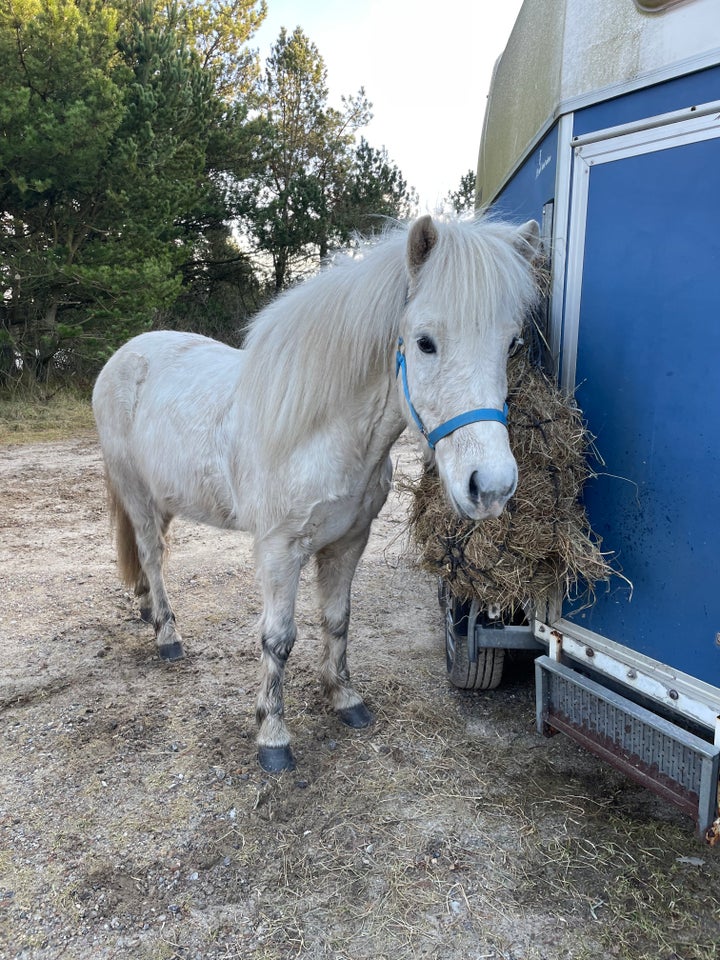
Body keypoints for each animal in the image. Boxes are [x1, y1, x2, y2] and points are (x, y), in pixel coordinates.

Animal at [91, 214, 540, 768]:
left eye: (511, 345)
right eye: (424, 342)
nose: (491, 486)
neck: (324, 434)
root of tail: (123, 356)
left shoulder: (349, 542)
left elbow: (337, 619)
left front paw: (344, 699)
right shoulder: (280, 551)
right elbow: (278, 639)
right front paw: (272, 735)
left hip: (166, 496)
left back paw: (148, 611)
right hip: (134, 491)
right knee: (153, 557)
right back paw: (168, 635)